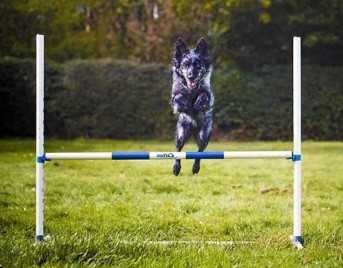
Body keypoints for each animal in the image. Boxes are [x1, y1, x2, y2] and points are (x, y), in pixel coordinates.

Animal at [171, 37, 214, 176]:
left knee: (199, 152)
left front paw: (197, 104)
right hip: (181, 133)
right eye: (185, 65)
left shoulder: (209, 95)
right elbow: (179, 98)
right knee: (178, 151)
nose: (191, 76)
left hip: (204, 135)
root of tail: (194, 129)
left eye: (197, 65)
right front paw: (186, 105)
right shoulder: (174, 97)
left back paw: (195, 168)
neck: (192, 89)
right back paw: (176, 168)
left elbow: (204, 95)